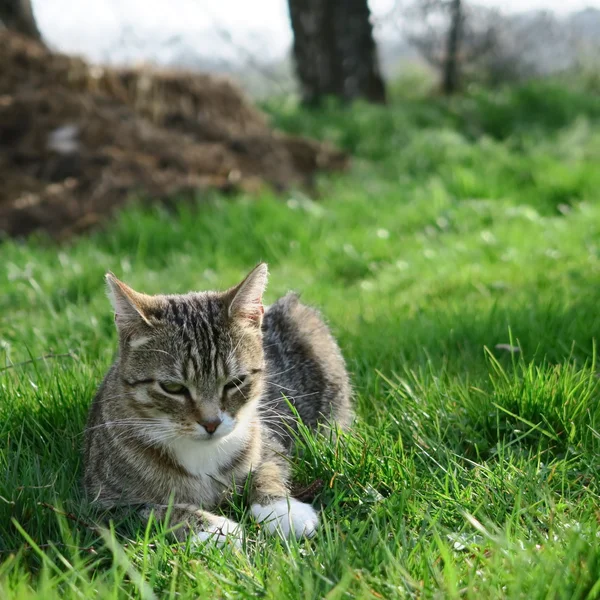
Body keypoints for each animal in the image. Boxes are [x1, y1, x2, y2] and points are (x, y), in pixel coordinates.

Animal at [82, 262, 350, 544]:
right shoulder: (104, 505)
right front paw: (215, 528)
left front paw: (282, 509)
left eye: (235, 382)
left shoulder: (269, 441)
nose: (211, 423)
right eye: (172, 388)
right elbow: (156, 511)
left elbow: (268, 470)